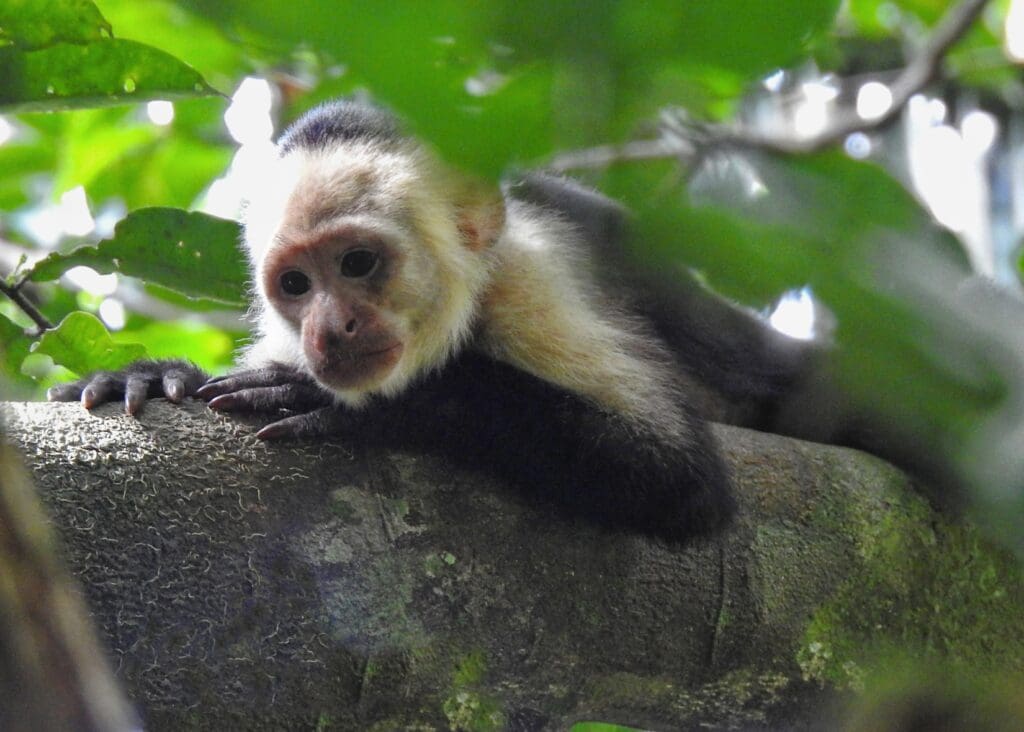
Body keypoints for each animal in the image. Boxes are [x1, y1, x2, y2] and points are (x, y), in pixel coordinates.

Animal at [48, 99, 829, 542]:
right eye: (296, 284)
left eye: (358, 262)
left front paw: (363, 405)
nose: (329, 330)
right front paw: (153, 375)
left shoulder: (527, 283)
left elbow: (681, 479)